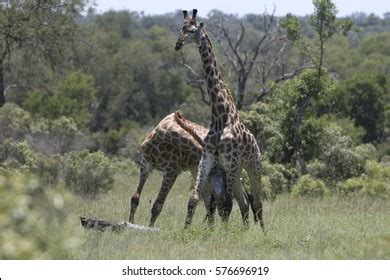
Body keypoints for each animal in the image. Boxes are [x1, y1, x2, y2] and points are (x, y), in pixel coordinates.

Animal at [174, 9, 264, 228]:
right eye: (181, 28)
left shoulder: (230, 160)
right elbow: (194, 199)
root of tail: (257, 143)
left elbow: (226, 204)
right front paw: (185, 230)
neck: (219, 116)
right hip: (237, 172)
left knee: (257, 203)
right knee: (245, 203)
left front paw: (223, 233)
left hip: (253, 167)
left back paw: (263, 232)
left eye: (192, 30)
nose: (177, 45)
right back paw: (245, 230)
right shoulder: (208, 158)